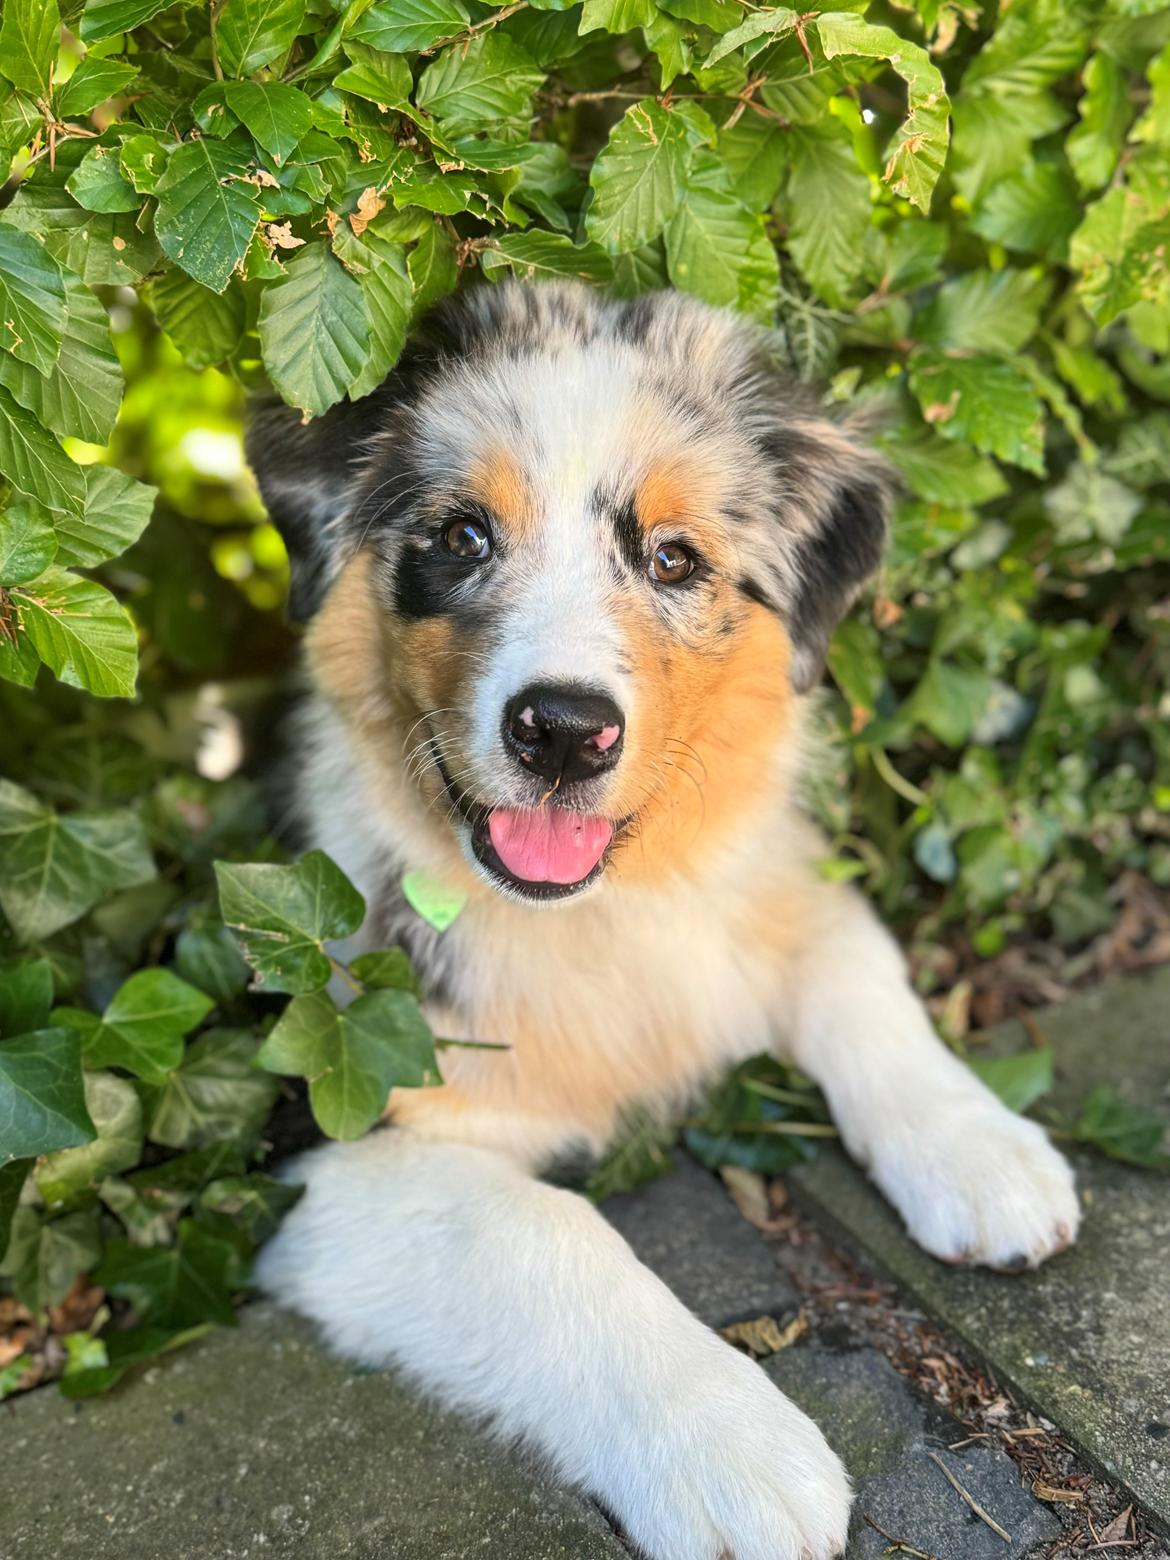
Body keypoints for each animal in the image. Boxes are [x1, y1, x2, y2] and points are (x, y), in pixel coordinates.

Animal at [252, 283, 1085, 1560]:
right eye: (462, 538)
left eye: (674, 557)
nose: (562, 730)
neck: (599, 914)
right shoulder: (327, 1146)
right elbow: (539, 1228)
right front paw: (733, 1449)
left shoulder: (769, 885)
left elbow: (861, 972)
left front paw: (986, 1154)